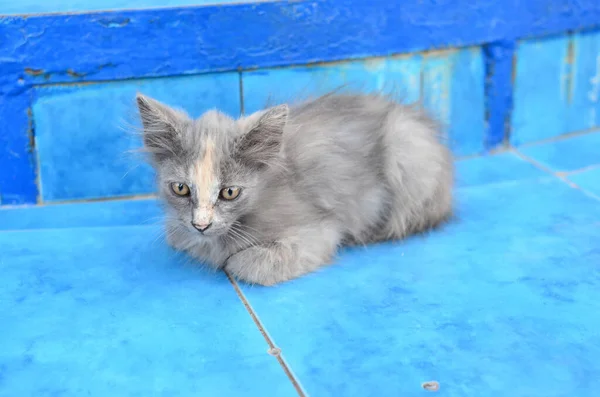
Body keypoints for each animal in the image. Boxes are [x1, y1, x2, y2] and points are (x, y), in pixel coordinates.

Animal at [136, 92, 452, 284]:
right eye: (180, 188)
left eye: (229, 192)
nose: (200, 225)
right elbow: (177, 235)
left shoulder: (320, 230)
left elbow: (242, 264)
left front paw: (228, 260)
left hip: (407, 152)